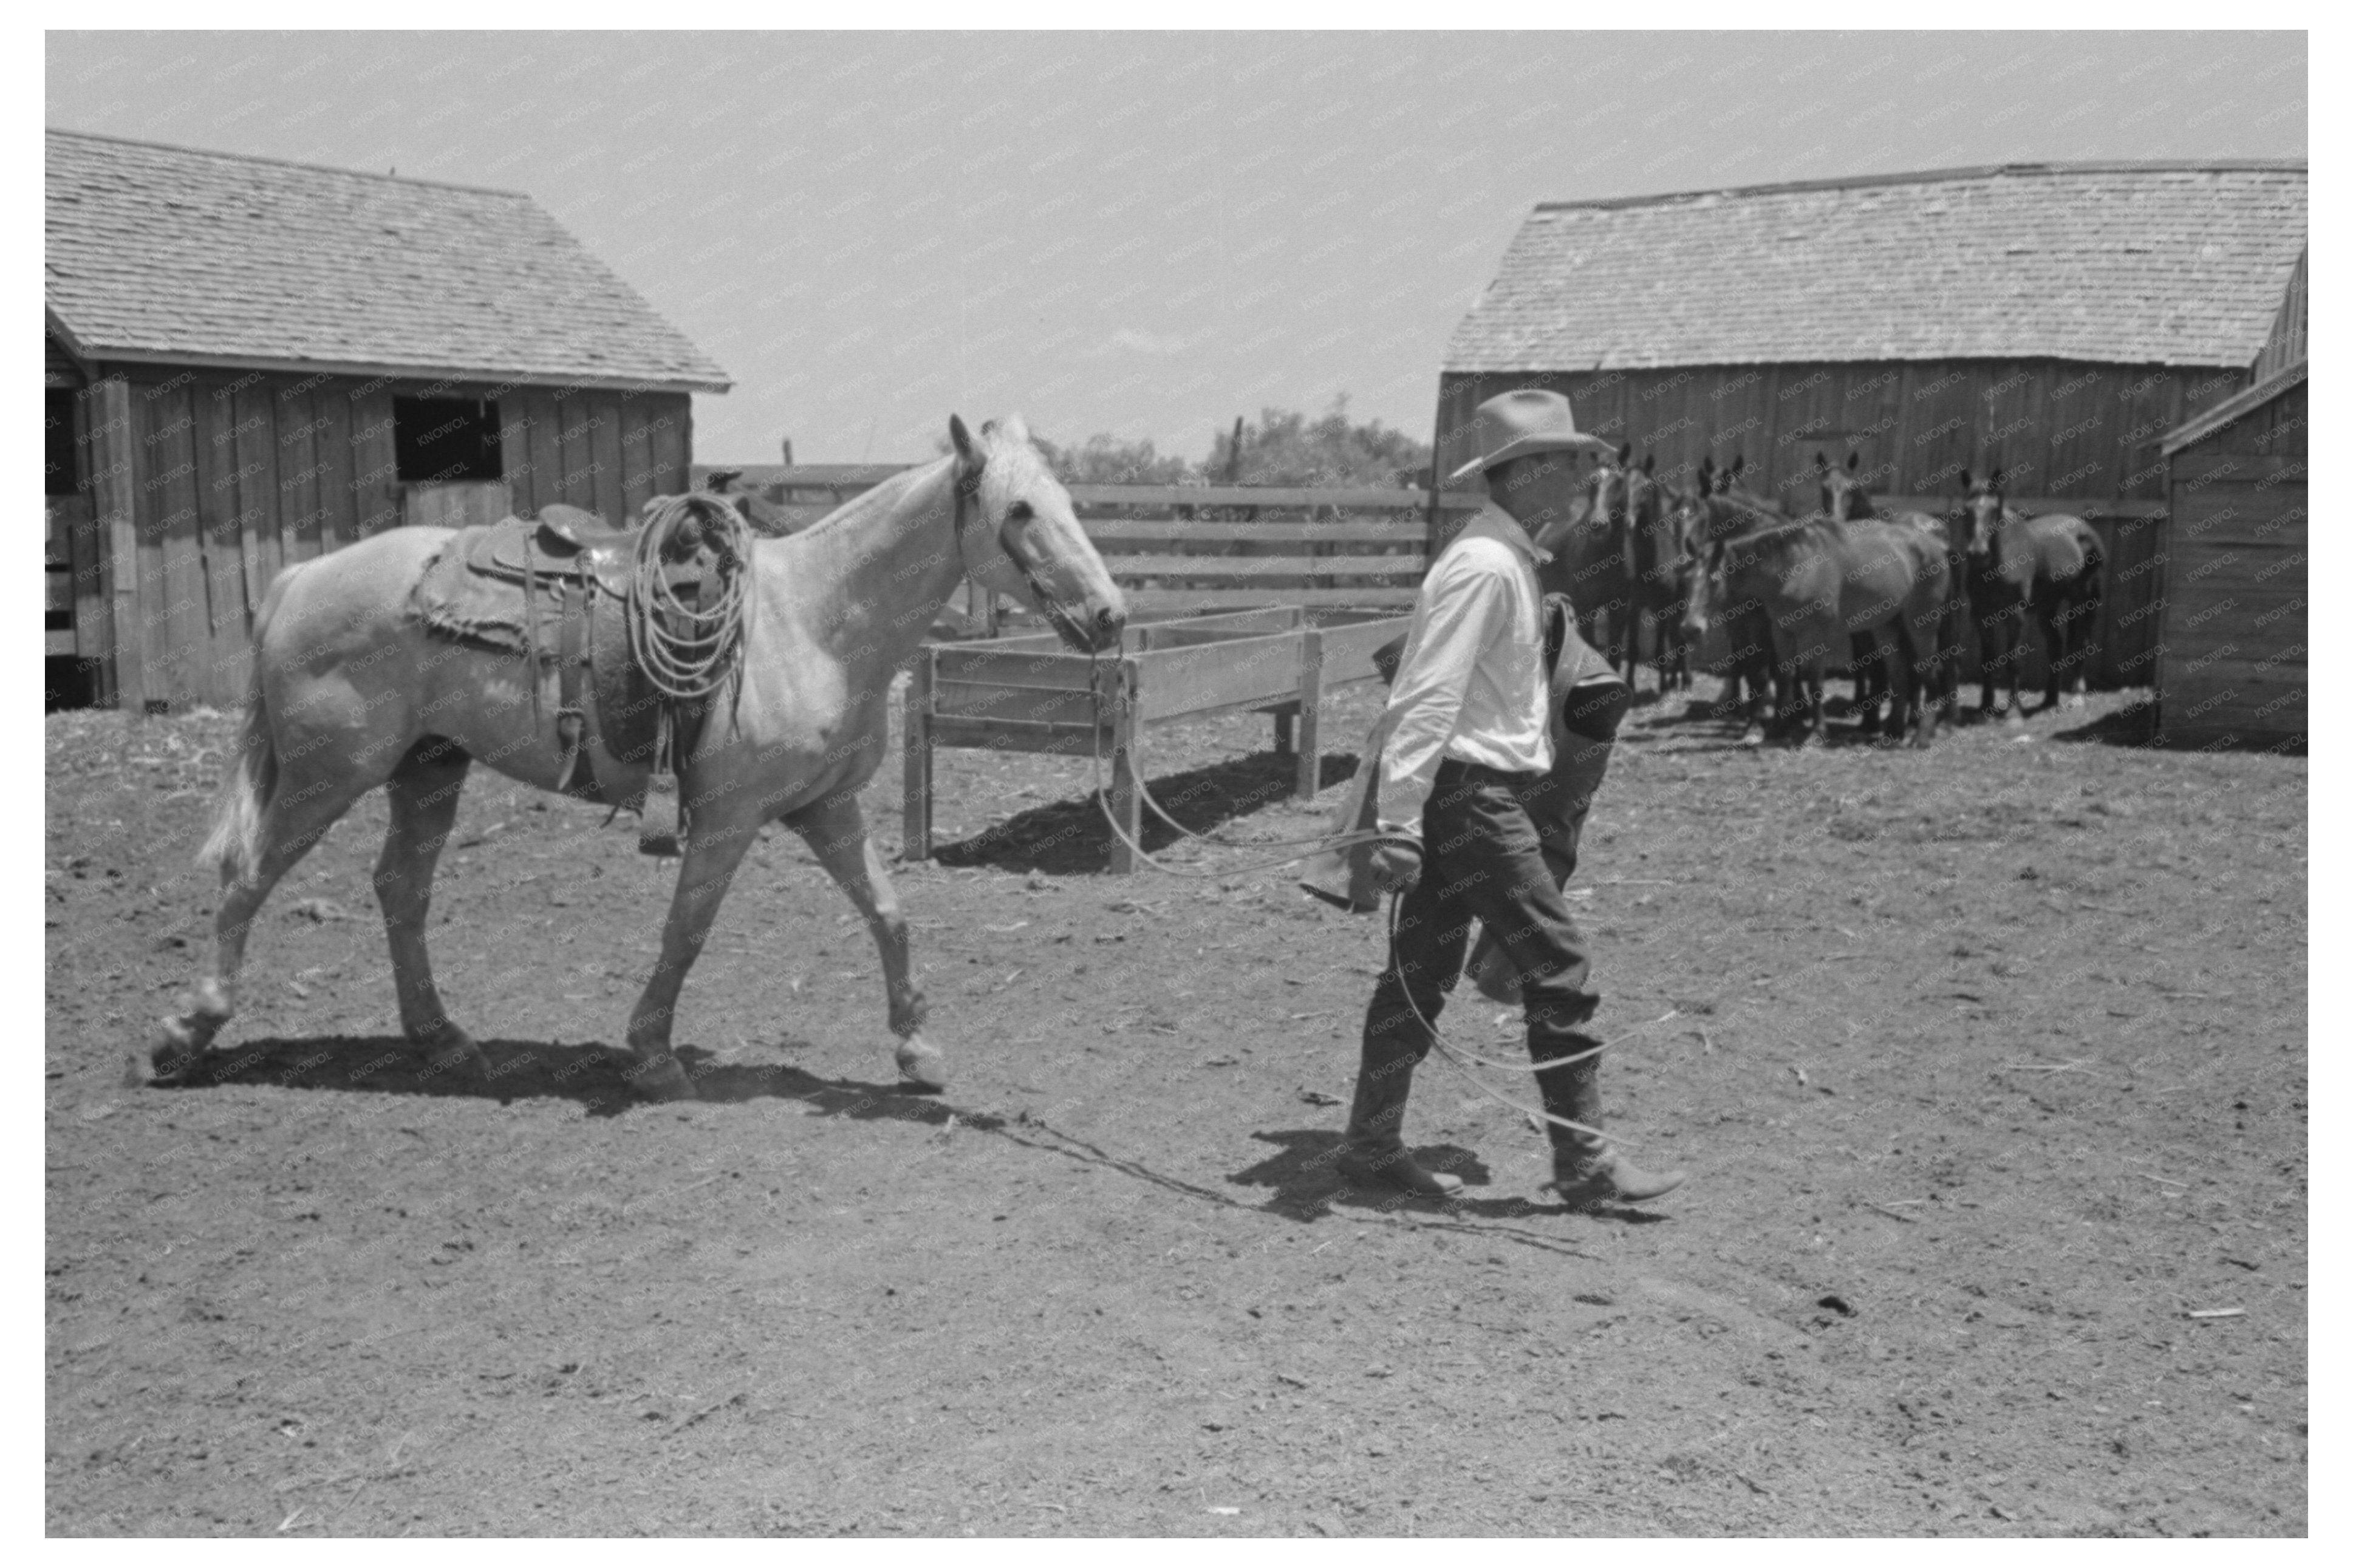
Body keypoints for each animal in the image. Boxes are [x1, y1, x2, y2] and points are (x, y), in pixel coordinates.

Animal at [156, 414, 1129, 1097]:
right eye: (1020, 510)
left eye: (1072, 504)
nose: (1111, 614)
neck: (812, 621)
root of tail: (297, 580)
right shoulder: (731, 817)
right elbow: (686, 928)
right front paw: (653, 1055)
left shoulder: (826, 807)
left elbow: (888, 913)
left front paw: (918, 1048)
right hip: (326, 777)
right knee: (248, 879)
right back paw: (185, 1032)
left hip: (428, 768)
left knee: (400, 889)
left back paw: (444, 1040)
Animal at [1958, 466, 2108, 715]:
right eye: (1966, 509)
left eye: (1994, 510)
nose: (1978, 553)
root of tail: (2084, 529)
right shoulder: (1981, 614)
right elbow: (1987, 659)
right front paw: (1986, 705)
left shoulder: (2015, 614)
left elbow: (2013, 660)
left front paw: (2013, 710)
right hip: (2047, 608)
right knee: (2056, 646)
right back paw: (2049, 700)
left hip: (2084, 600)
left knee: (2081, 643)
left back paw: (2077, 697)